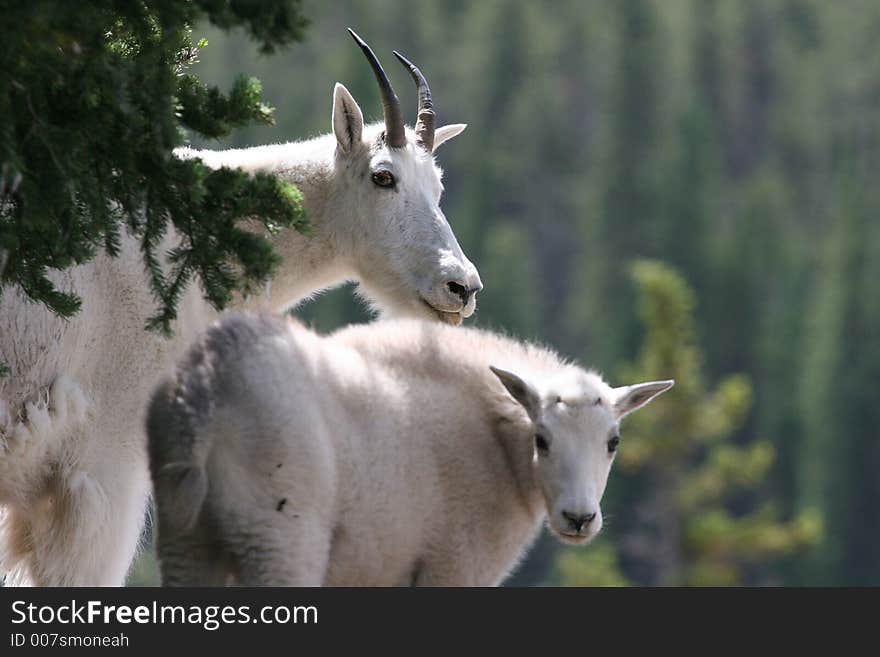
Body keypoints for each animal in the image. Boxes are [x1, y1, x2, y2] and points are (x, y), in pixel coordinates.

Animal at [150, 312, 672, 584]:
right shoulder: (455, 567)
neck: (499, 448)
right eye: (541, 439)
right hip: (278, 536)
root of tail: (206, 390)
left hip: (184, 538)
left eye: (613, 441)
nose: (579, 519)